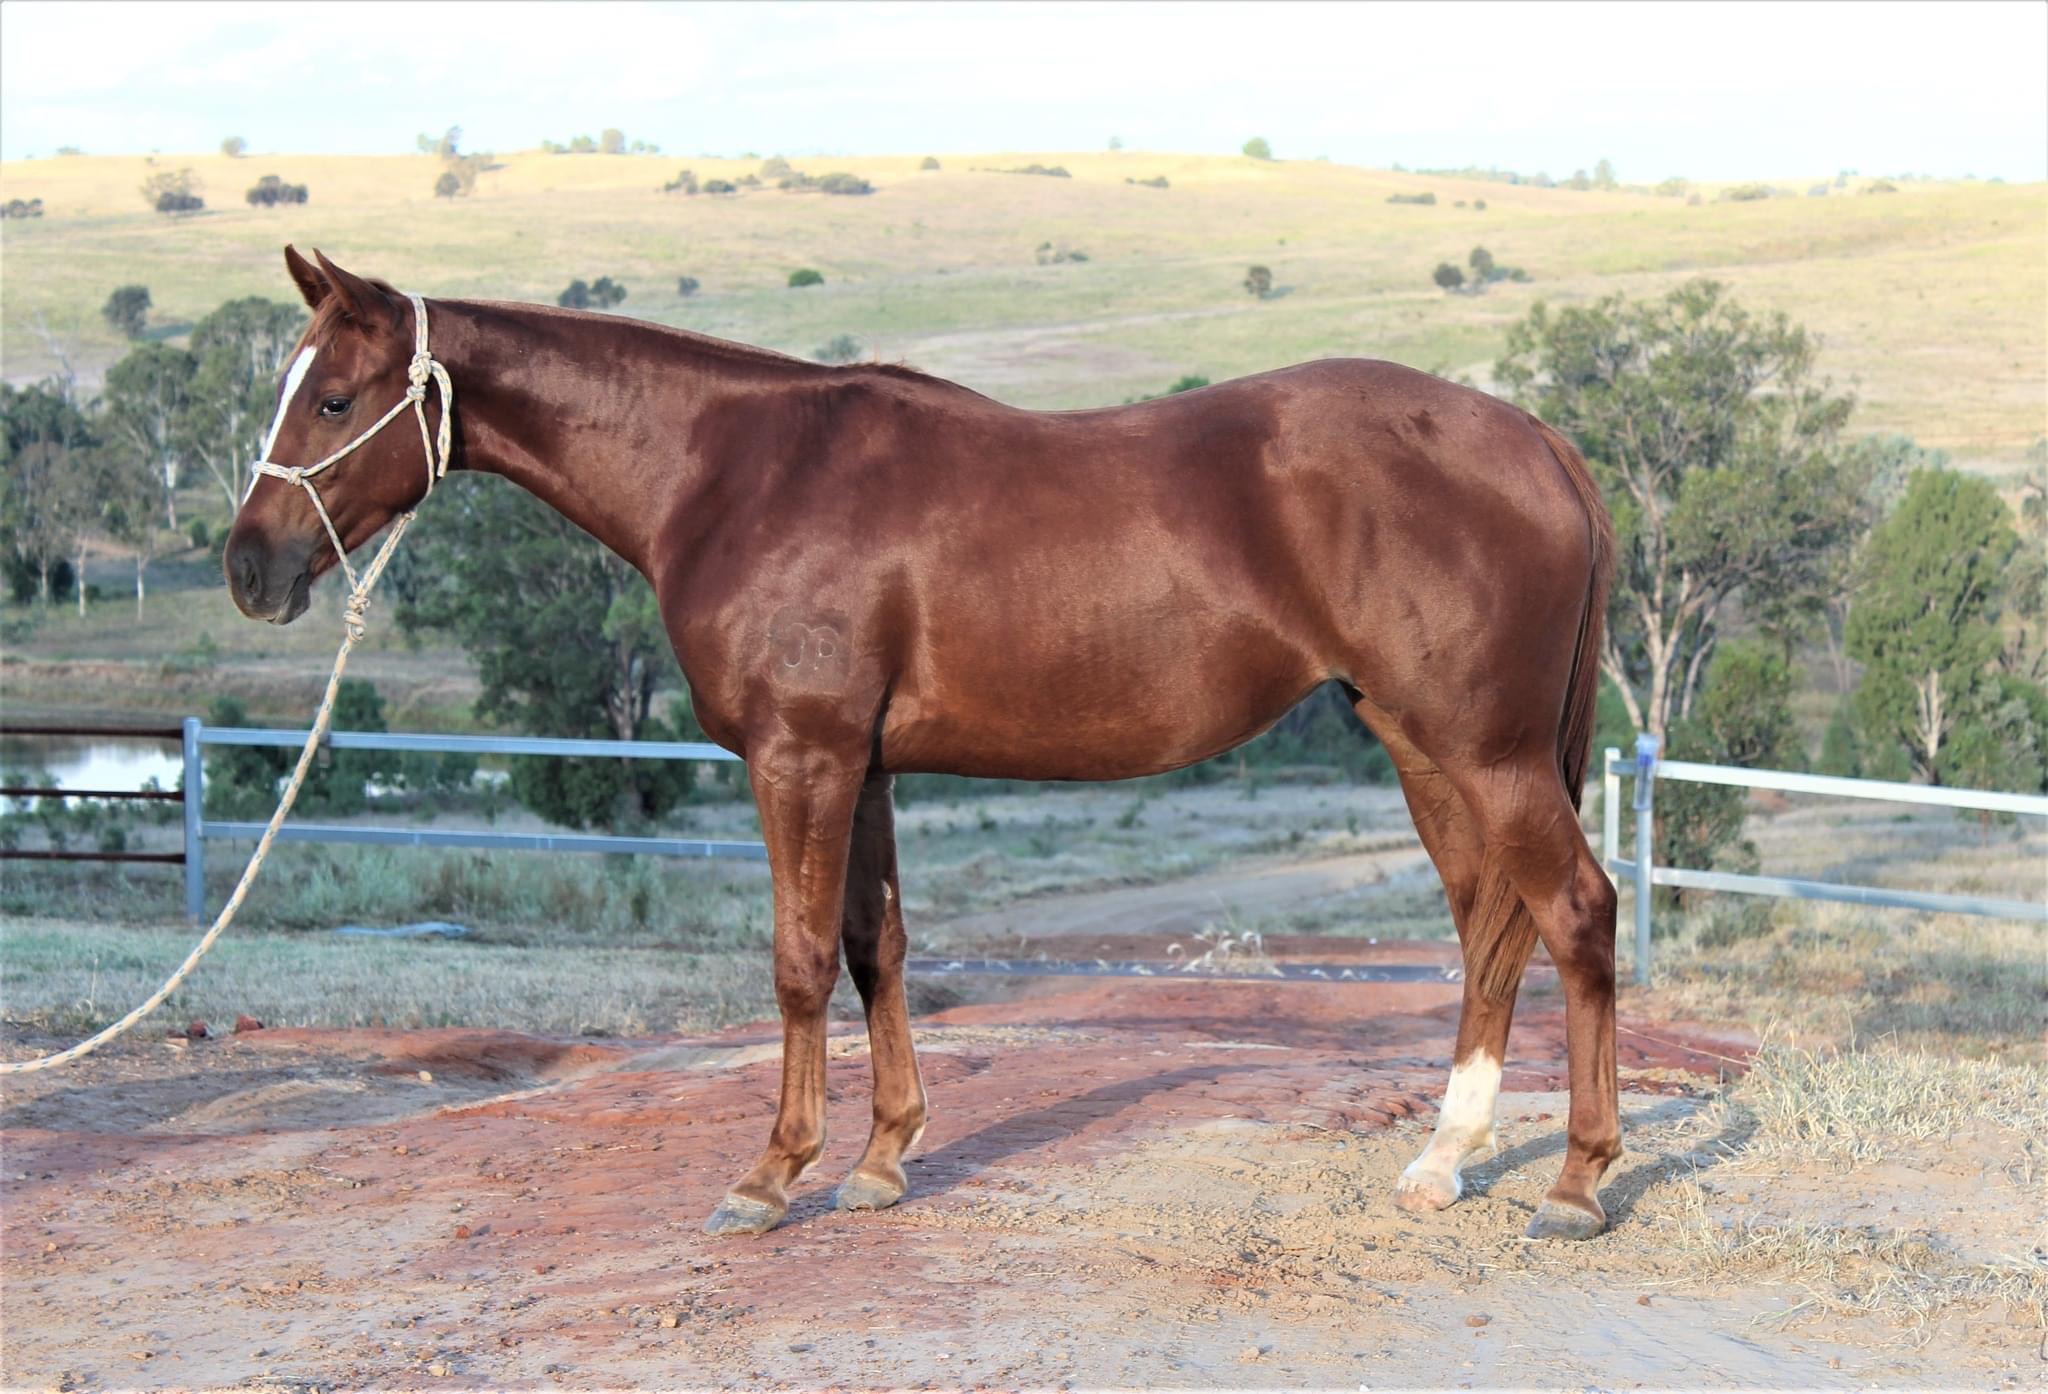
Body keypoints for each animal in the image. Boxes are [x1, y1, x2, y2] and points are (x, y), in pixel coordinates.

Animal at [226, 247, 1621, 1242]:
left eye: (336, 397)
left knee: (1574, 911)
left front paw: (770, 1173)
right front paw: (885, 1156)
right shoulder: (864, 765)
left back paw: (1575, 1181)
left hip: (1485, 752)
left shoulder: (799, 757)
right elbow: (872, 945)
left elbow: (796, 961)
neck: (734, 471)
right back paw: (1443, 1159)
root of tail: (1538, 440)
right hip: (1423, 746)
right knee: (1488, 924)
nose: (248, 567)